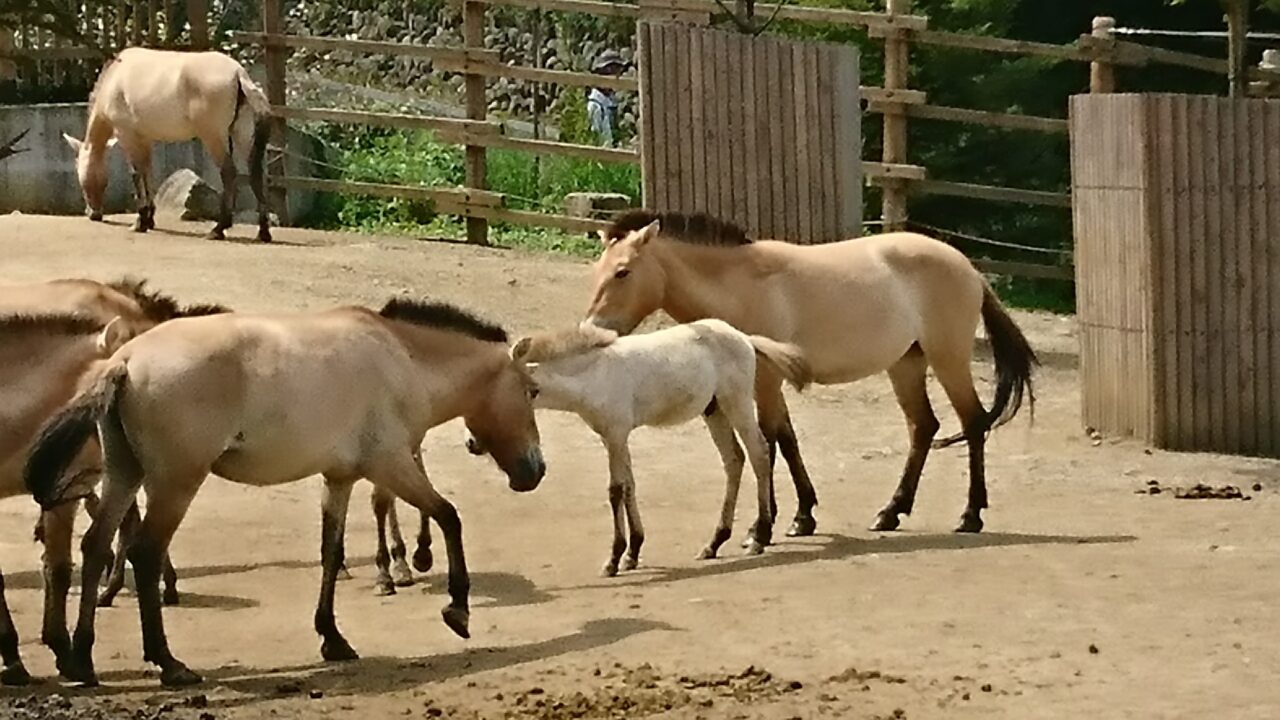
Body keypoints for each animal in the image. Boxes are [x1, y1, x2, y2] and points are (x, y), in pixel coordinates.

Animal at [24, 297, 545, 687]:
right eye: (532, 390)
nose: (535, 471)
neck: (402, 358)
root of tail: (125, 362)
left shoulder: (340, 478)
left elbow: (331, 553)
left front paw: (333, 639)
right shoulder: (392, 466)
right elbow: (449, 515)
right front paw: (458, 610)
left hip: (124, 475)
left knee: (95, 547)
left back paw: (82, 661)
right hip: (175, 483)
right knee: (145, 554)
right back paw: (168, 664)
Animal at [62, 47, 273, 242]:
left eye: (83, 179)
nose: (94, 214)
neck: (115, 78)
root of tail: (238, 73)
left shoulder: (127, 136)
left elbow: (136, 174)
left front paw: (140, 222)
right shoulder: (145, 139)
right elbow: (147, 173)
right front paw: (149, 219)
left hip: (214, 137)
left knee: (229, 173)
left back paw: (218, 229)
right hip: (241, 134)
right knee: (256, 174)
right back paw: (263, 232)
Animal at [477, 320, 809, 577]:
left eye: (518, 391)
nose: (472, 443)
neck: (593, 374)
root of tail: (743, 337)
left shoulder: (616, 434)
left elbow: (615, 490)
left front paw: (613, 559)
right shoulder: (613, 437)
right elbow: (629, 486)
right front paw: (633, 553)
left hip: (736, 403)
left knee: (759, 454)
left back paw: (759, 537)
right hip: (713, 410)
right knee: (734, 460)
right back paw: (714, 543)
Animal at [582, 211, 1038, 539]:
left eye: (623, 272)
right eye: (597, 271)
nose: (592, 329)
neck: (740, 284)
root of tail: (968, 267)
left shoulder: (765, 379)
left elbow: (768, 441)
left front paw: (761, 528)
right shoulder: (769, 381)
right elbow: (787, 440)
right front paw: (802, 517)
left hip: (948, 360)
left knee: (973, 423)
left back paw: (970, 515)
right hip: (906, 364)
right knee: (924, 427)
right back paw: (891, 512)